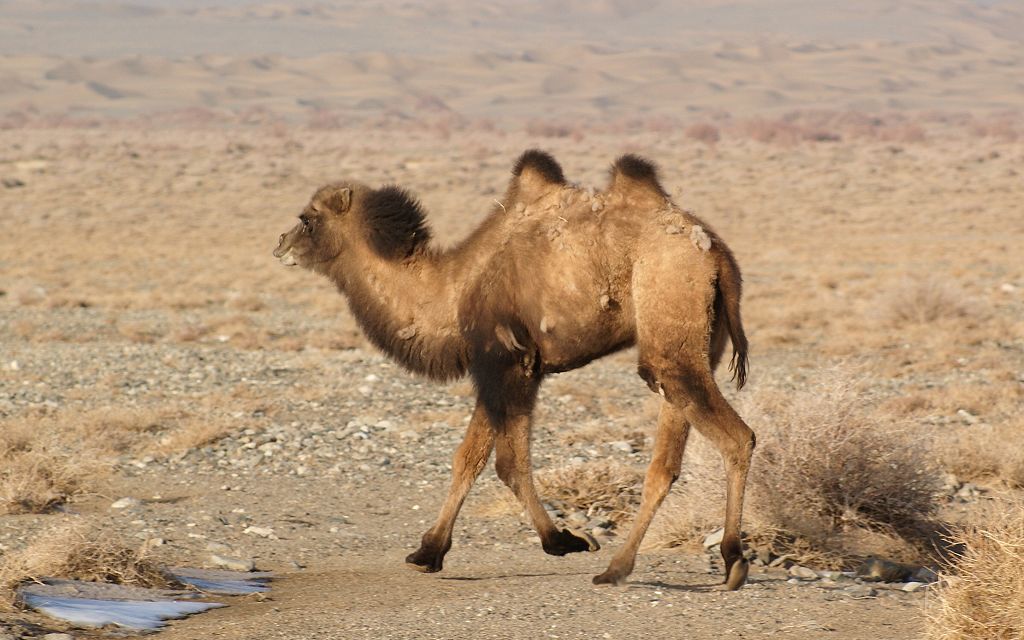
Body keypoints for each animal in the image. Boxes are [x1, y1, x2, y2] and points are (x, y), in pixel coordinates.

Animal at [276, 149, 757, 589]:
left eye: (308, 218)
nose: (280, 244)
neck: (450, 290)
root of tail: (716, 254)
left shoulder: (506, 363)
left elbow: (506, 463)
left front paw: (564, 540)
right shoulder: (508, 367)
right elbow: (467, 458)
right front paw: (427, 552)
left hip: (670, 322)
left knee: (738, 437)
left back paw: (722, 560)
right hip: (693, 345)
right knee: (666, 461)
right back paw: (625, 566)